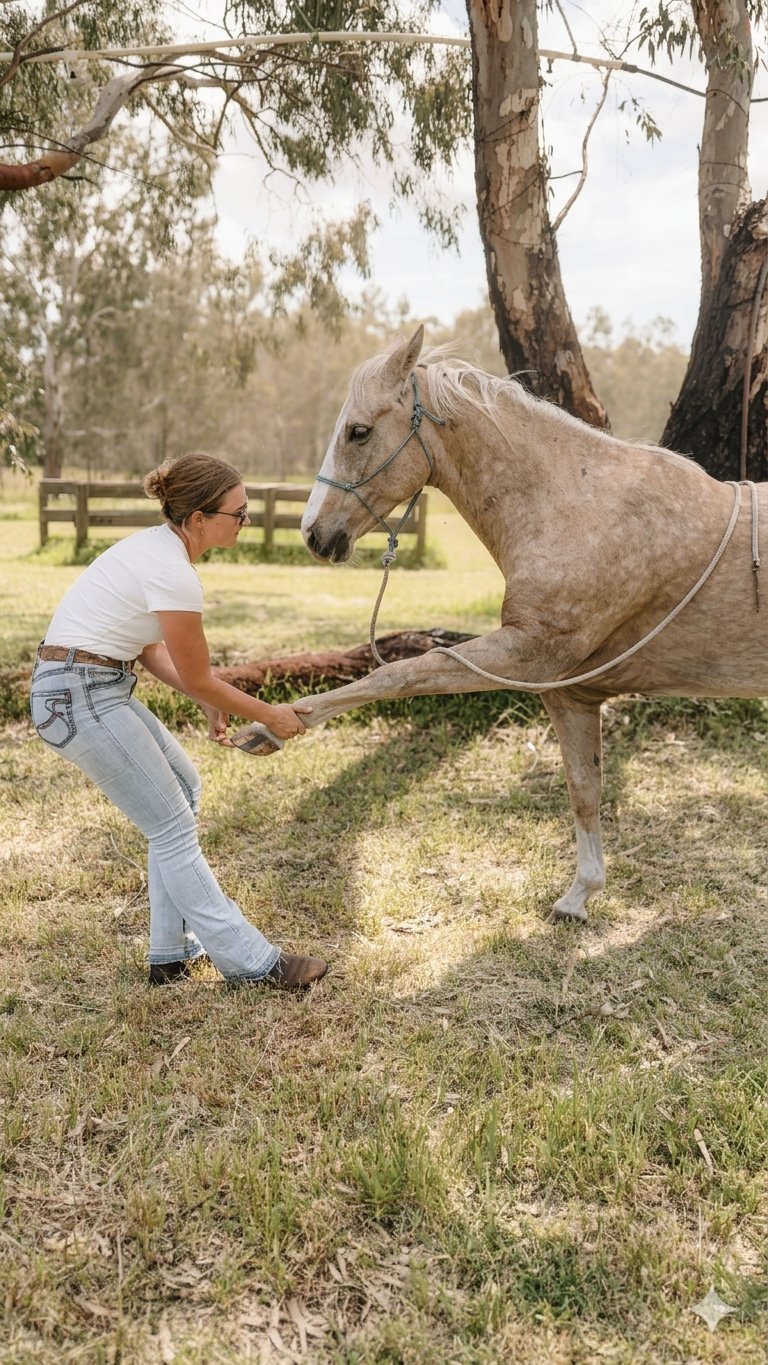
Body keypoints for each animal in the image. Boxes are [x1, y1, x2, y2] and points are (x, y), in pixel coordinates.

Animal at [232, 326, 767, 923]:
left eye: (359, 431)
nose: (314, 534)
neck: (584, 511)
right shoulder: (570, 693)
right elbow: (584, 788)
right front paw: (579, 895)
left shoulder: (527, 654)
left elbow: (402, 673)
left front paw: (271, 727)